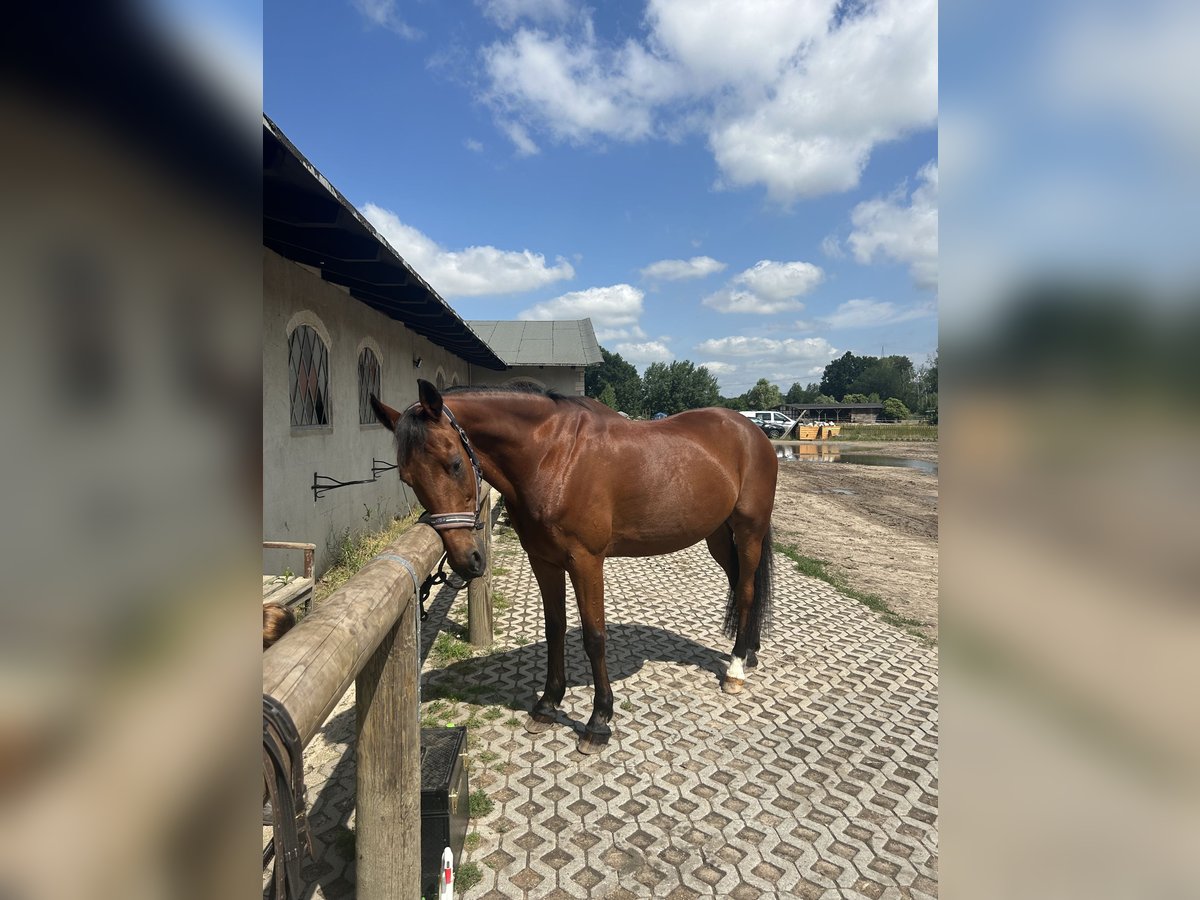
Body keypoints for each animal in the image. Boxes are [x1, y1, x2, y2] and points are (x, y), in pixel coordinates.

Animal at [372, 381, 777, 753]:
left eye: (455, 464)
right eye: (407, 478)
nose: (465, 560)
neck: (553, 456)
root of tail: (752, 430)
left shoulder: (586, 562)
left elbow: (594, 637)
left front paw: (599, 722)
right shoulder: (543, 560)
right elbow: (555, 628)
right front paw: (547, 705)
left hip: (749, 531)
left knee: (746, 590)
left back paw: (736, 669)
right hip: (718, 535)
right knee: (740, 582)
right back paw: (750, 650)